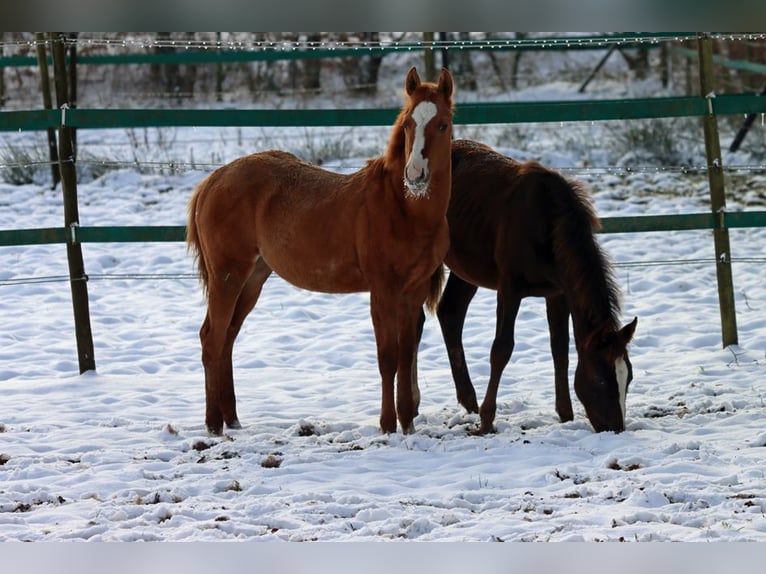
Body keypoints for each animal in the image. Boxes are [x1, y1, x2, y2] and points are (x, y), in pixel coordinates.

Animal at [187, 67, 456, 436]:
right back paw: (214, 425)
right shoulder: (383, 291)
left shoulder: (412, 291)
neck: (402, 207)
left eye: (442, 124)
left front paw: (407, 424)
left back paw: (232, 419)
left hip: (253, 278)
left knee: (225, 337)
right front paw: (388, 426)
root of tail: (213, 180)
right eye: (407, 125)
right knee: (212, 340)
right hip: (227, 276)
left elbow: (405, 356)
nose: (415, 175)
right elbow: (387, 357)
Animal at [426, 141, 636, 436]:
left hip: (466, 270)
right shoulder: (509, 290)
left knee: (450, 313)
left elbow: (560, 348)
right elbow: (501, 349)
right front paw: (487, 421)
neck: (547, 224)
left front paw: (565, 414)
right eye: (601, 379)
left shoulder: (558, 293)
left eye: (628, 376)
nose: (615, 429)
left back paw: (468, 400)